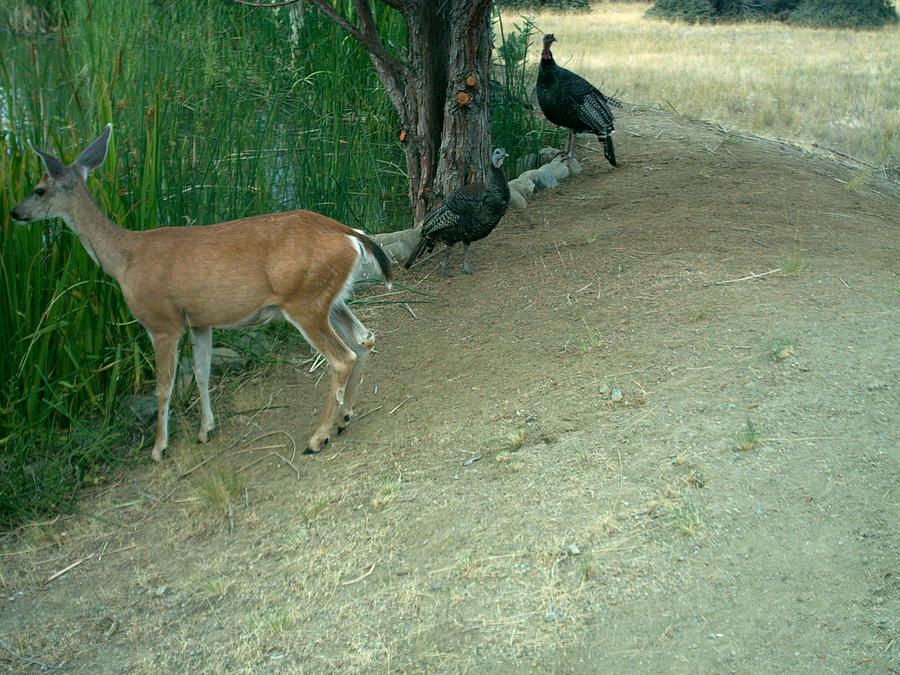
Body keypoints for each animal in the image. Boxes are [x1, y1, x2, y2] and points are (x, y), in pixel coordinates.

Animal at [8, 125, 392, 464]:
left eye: (38, 189)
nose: (15, 212)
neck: (125, 258)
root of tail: (350, 234)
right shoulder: (199, 321)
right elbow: (202, 373)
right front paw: (206, 430)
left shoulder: (162, 322)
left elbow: (164, 385)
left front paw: (159, 449)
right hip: (330, 298)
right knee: (365, 339)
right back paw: (343, 420)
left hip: (303, 301)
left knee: (342, 357)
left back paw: (317, 438)